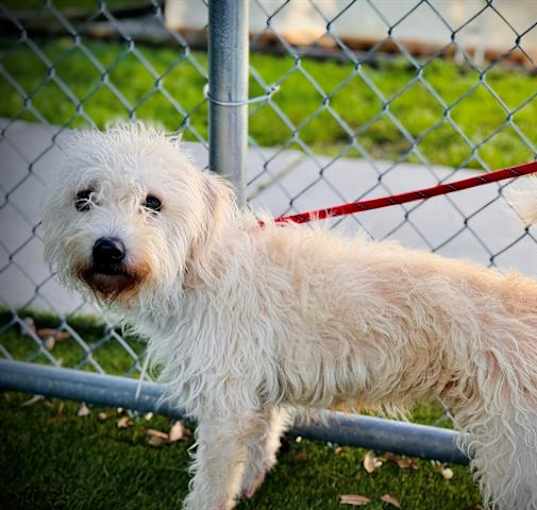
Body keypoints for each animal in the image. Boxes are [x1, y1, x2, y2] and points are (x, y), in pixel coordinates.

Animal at [43, 123, 536, 510]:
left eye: (153, 203)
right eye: (84, 198)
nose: (108, 249)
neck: (201, 265)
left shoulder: (224, 404)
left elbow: (211, 481)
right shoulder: (256, 391)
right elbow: (261, 440)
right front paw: (251, 482)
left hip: (515, 448)